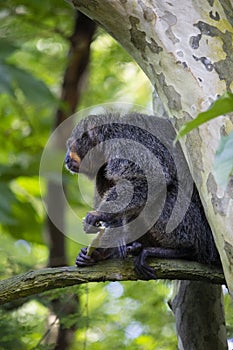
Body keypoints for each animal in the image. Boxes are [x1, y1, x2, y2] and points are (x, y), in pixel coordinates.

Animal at [65, 112, 220, 278]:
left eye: (70, 146)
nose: (66, 159)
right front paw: (110, 245)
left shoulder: (125, 142)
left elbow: (153, 178)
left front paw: (99, 215)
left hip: (202, 236)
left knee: (163, 196)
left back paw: (182, 250)